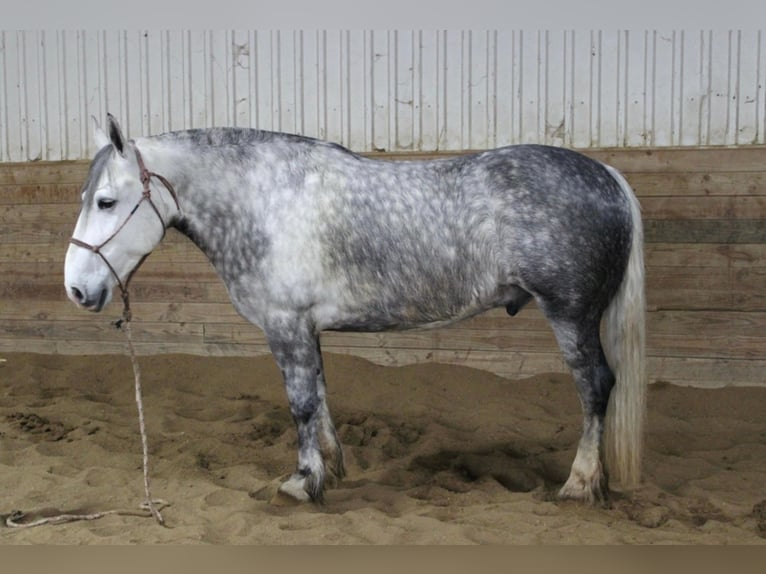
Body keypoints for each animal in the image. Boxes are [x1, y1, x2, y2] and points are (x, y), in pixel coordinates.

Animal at [66, 113, 644, 508]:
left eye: (106, 202)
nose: (75, 288)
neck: (265, 201)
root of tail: (608, 176)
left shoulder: (285, 324)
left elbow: (300, 403)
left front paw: (302, 483)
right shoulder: (306, 327)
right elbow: (320, 395)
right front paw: (331, 468)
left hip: (571, 315)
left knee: (595, 387)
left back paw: (580, 483)